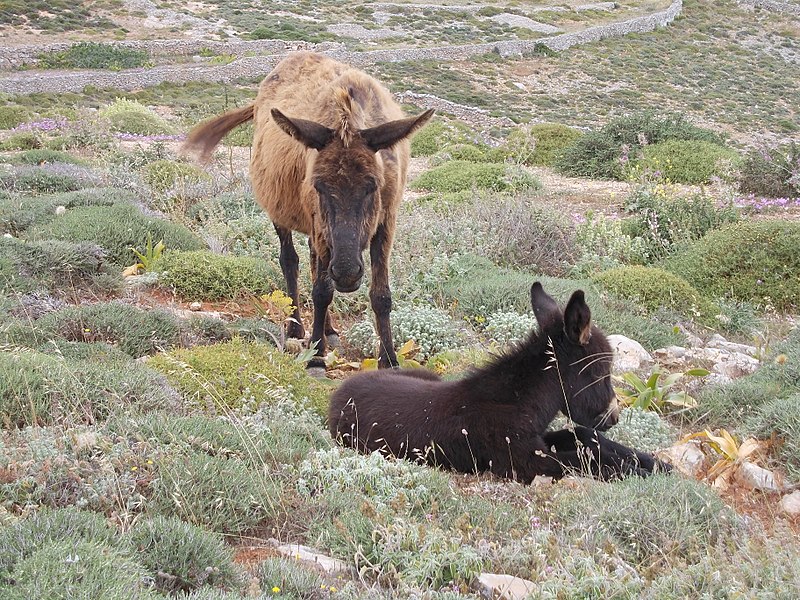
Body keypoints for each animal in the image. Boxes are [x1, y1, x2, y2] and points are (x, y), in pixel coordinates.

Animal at [328, 282, 672, 482]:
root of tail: (340, 391)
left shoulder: (540, 439)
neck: (519, 403)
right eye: (599, 371)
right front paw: (637, 469)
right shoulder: (524, 463)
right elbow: (592, 463)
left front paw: (655, 463)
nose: (613, 418)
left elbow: (585, 437)